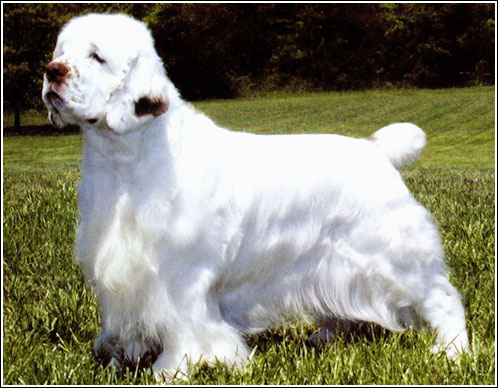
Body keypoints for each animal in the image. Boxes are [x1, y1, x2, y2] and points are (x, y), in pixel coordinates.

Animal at [41, 14, 466, 378]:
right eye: (60, 52)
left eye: (97, 57)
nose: (52, 72)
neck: (126, 159)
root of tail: (373, 149)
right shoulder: (122, 269)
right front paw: (121, 357)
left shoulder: (180, 276)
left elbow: (184, 326)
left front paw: (169, 370)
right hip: (335, 262)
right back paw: (325, 334)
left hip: (392, 255)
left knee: (443, 297)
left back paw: (452, 351)